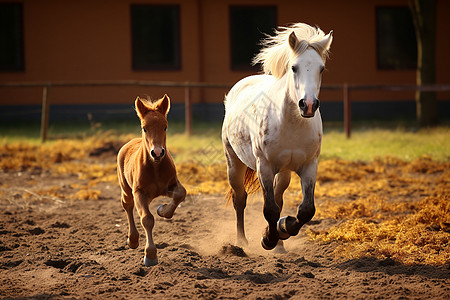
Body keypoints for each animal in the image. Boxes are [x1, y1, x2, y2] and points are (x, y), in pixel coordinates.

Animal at [118, 95, 186, 266]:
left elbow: (181, 194)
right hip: (127, 190)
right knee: (127, 205)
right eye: (144, 128)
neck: (155, 167)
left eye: (165, 127)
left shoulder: (171, 185)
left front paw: (163, 210)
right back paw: (133, 240)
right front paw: (150, 255)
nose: (157, 152)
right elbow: (147, 219)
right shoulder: (139, 192)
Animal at [222, 22, 332, 251]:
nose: (308, 105)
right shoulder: (264, 166)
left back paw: (280, 245)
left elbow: (306, 210)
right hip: (233, 162)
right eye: (294, 67)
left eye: (321, 68)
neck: (291, 124)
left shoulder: (309, 165)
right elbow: (270, 209)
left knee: (279, 199)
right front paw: (268, 239)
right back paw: (242, 241)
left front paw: (284, 227)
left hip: (284, 172)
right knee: (240, 199)